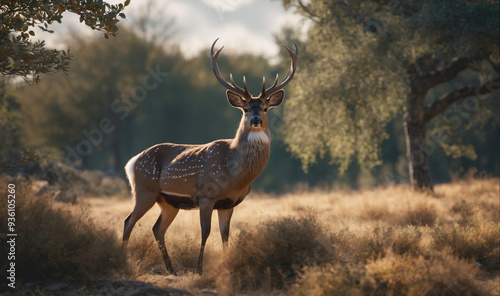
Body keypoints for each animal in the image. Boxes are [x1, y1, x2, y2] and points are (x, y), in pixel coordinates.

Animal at [122, 38, 298, 276]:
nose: (255, 120)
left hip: (168, 201)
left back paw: (172, 270)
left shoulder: (229, 203)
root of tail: (132, 162)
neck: (235, 176)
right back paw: (123, 263)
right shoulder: (206, 195)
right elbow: (205, 232)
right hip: (144, 189)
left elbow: (225, 235)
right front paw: (199, 270)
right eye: (244, 109)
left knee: (157, 228)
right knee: (128, 222)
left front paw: (226, 267)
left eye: (265, 108)